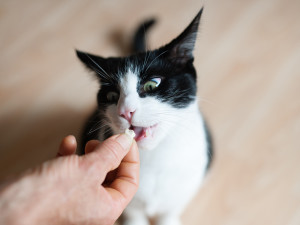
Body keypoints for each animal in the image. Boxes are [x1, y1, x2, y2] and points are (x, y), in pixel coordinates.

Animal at [77, 7, 213, 225]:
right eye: (112, 95)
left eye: (151, 84)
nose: (126, 111)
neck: (154, 158)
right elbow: (133, 213)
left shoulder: (186, 185)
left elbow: (170, 210)